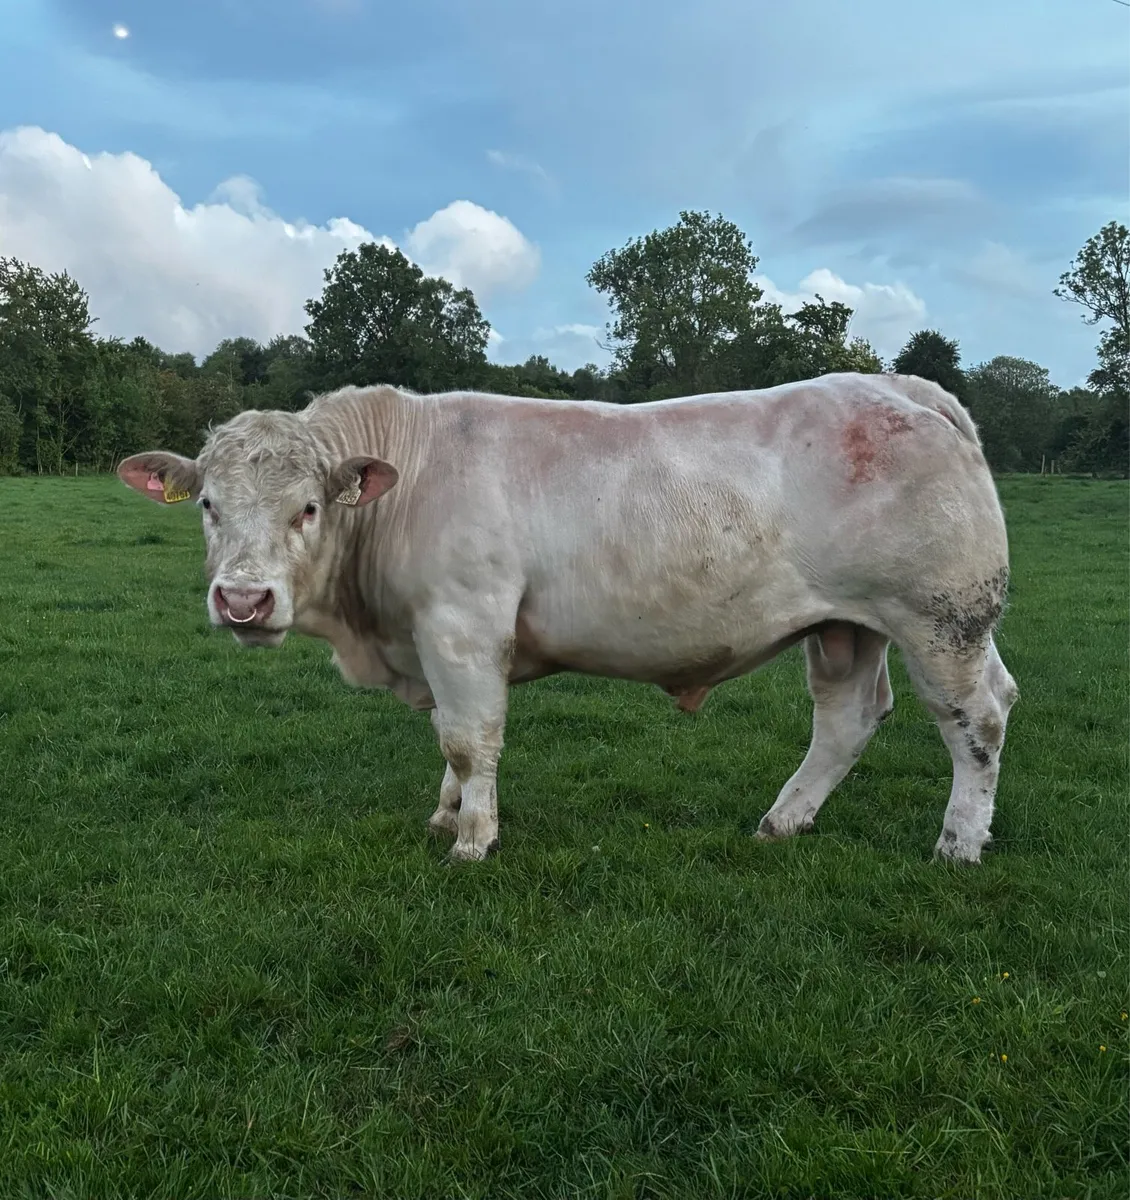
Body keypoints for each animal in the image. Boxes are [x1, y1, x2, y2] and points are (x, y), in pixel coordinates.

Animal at [116, 371, 1018, 865]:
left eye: (308, 507)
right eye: (207, 504)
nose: (243, 601)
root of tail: (895, 384)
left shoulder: (463, 623)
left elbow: (468, 736)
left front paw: (473, 838)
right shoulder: (433, 639)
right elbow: (448, 736)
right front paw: (445, 813)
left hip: (941, 616)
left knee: (976, 718)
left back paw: (958, 844)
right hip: (847, 627)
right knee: (848, 719)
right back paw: (781, 822)